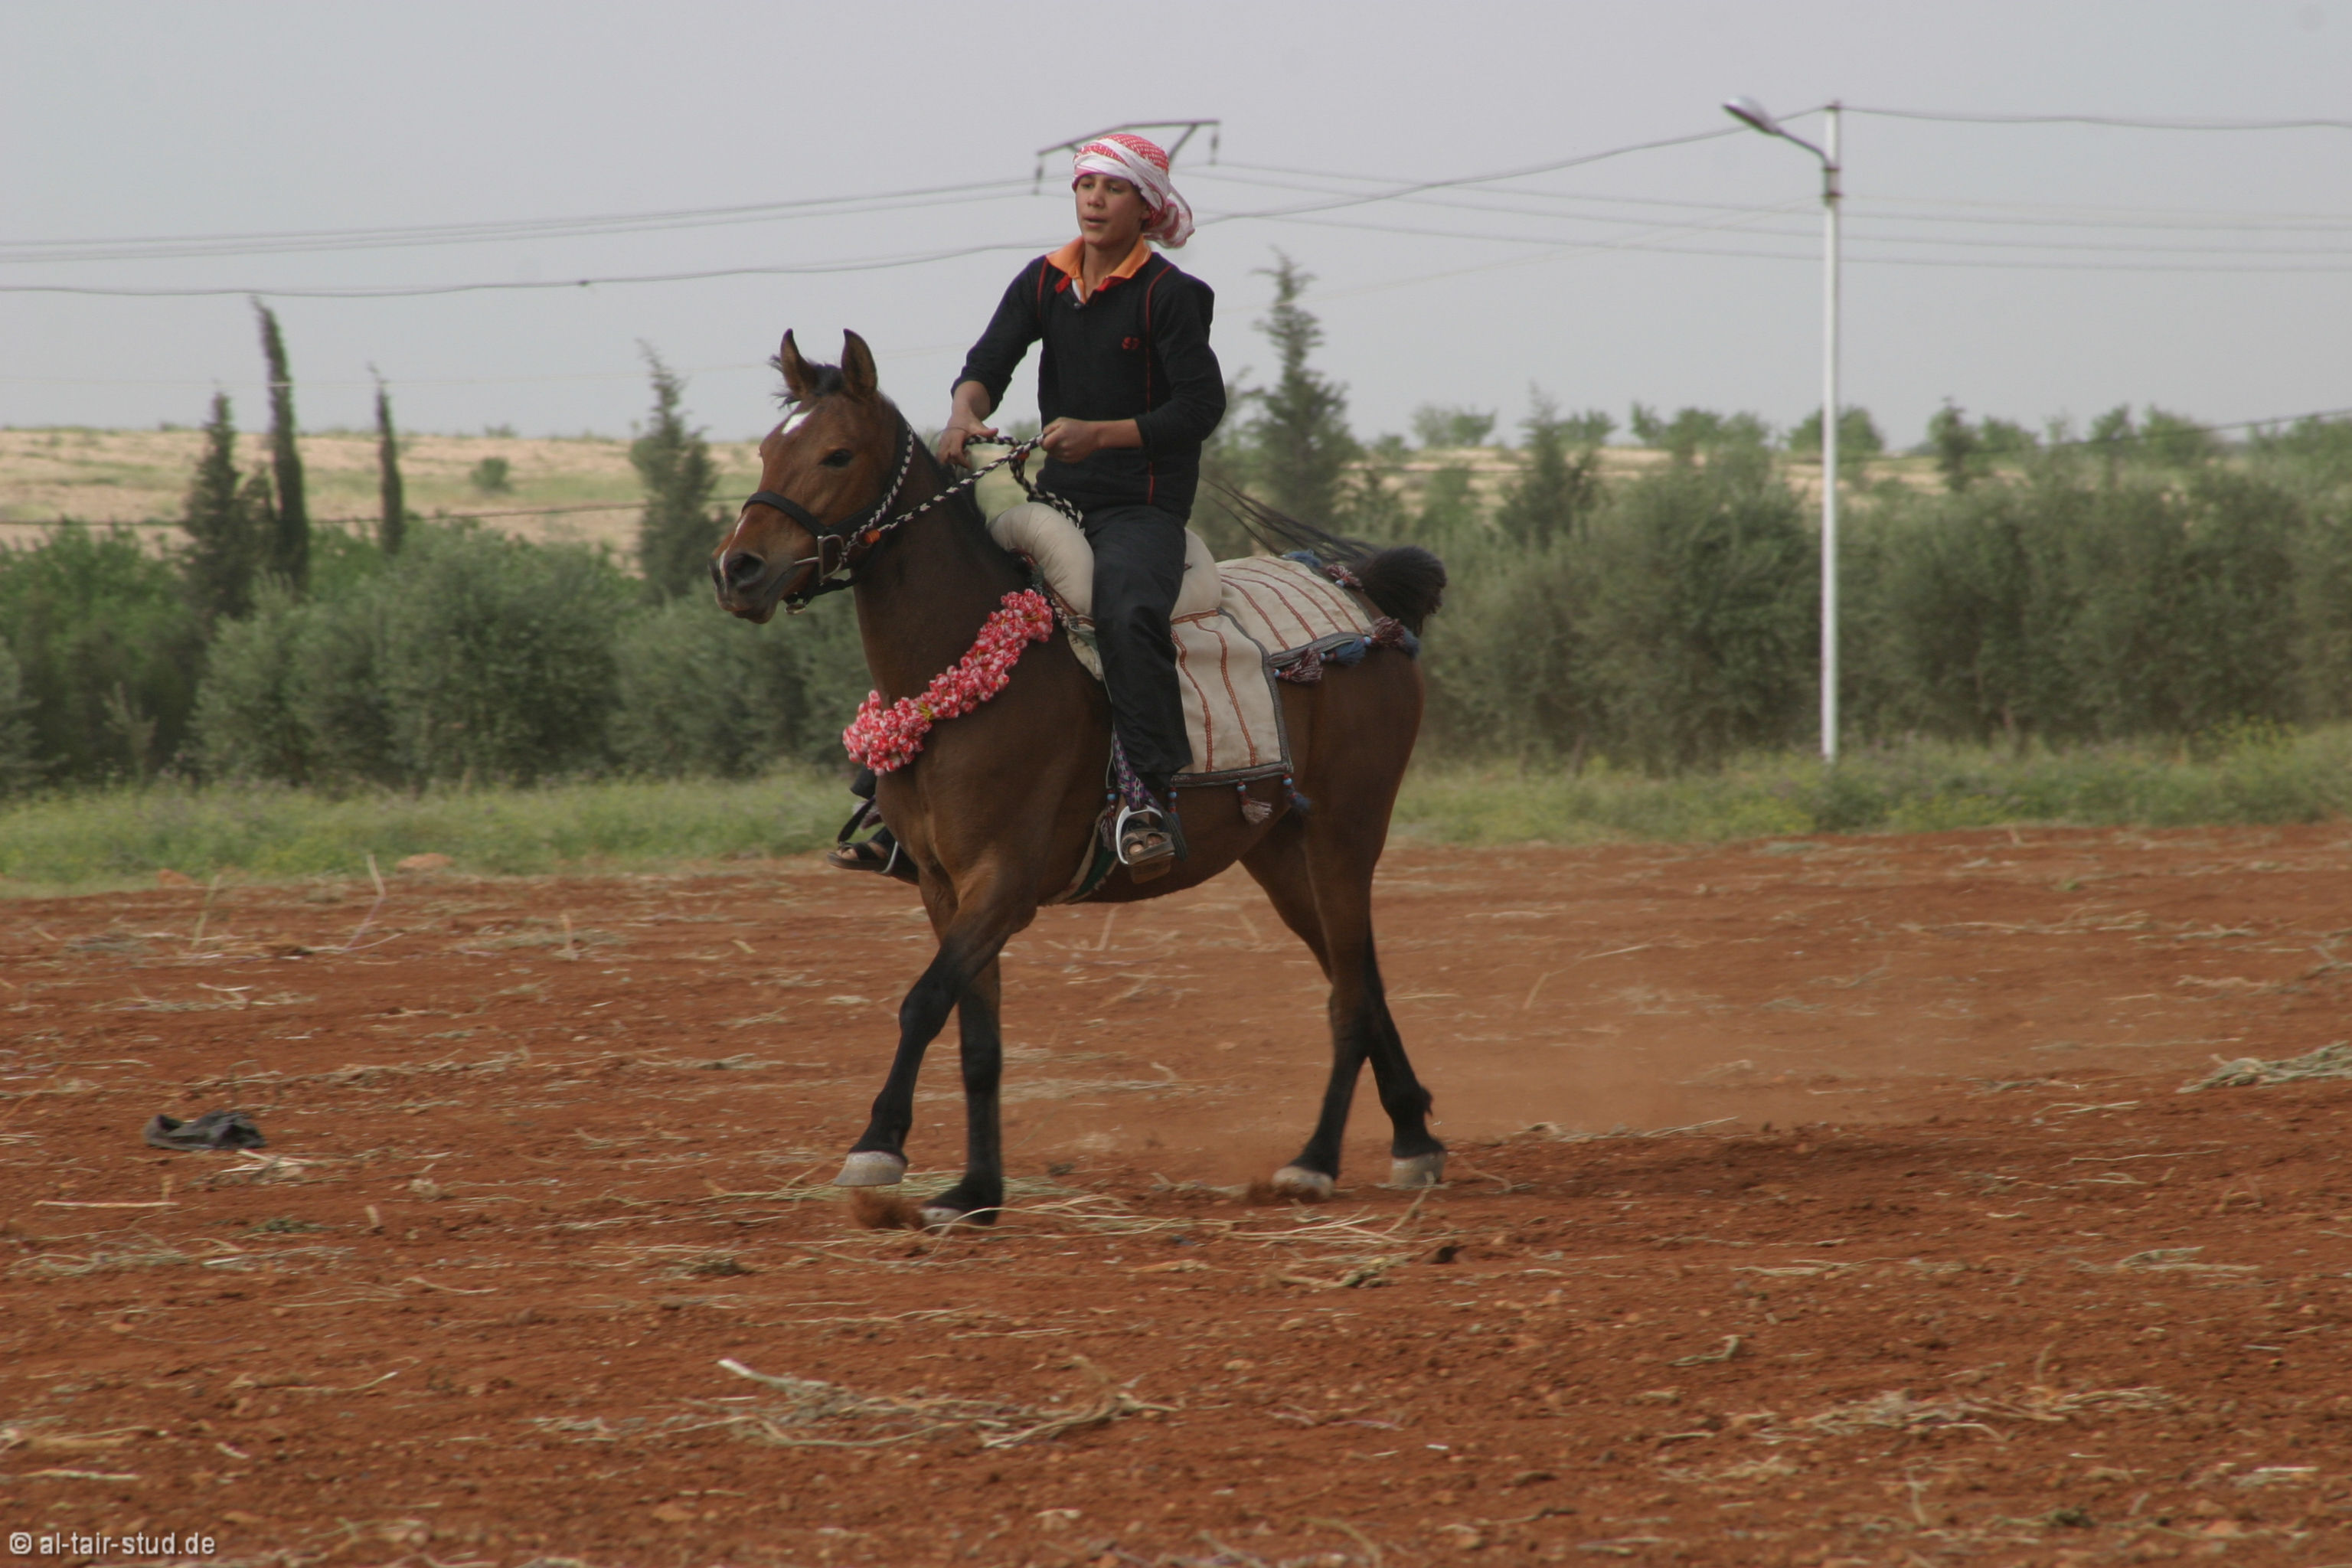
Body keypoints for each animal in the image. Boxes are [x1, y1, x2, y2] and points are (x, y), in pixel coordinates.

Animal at [710, 329, 1450, 1227]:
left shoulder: (1004, 882)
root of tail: (1365, 599)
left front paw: (879, 1146)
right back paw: (1413, 1136)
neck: (974, 665)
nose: (737, 569)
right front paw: (976, 1191)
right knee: (1361, 977)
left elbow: (924, 1001)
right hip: (1282, 850)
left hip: (1347, 833)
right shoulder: (945, 888)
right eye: (766, 450)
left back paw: (1313, 1161)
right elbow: (977, 1035)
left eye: (836, 453)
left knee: (1348, 995)